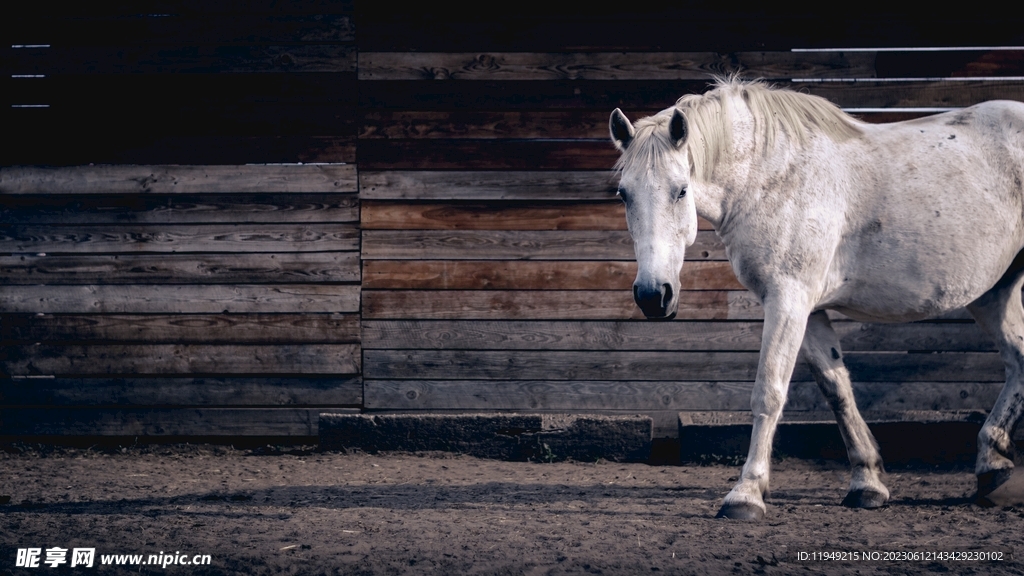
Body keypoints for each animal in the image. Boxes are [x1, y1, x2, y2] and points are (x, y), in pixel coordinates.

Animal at [609, 78, 1024, 520]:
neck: (773, 176)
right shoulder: (810, 310)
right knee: (1018, 360)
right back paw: (992, 464)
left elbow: (770, 391)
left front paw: (746, 493)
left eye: (681, 190)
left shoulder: (788, 300)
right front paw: (867, 483)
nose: (653, 295)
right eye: (623, 194)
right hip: (993, 293)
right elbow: (837, 389)